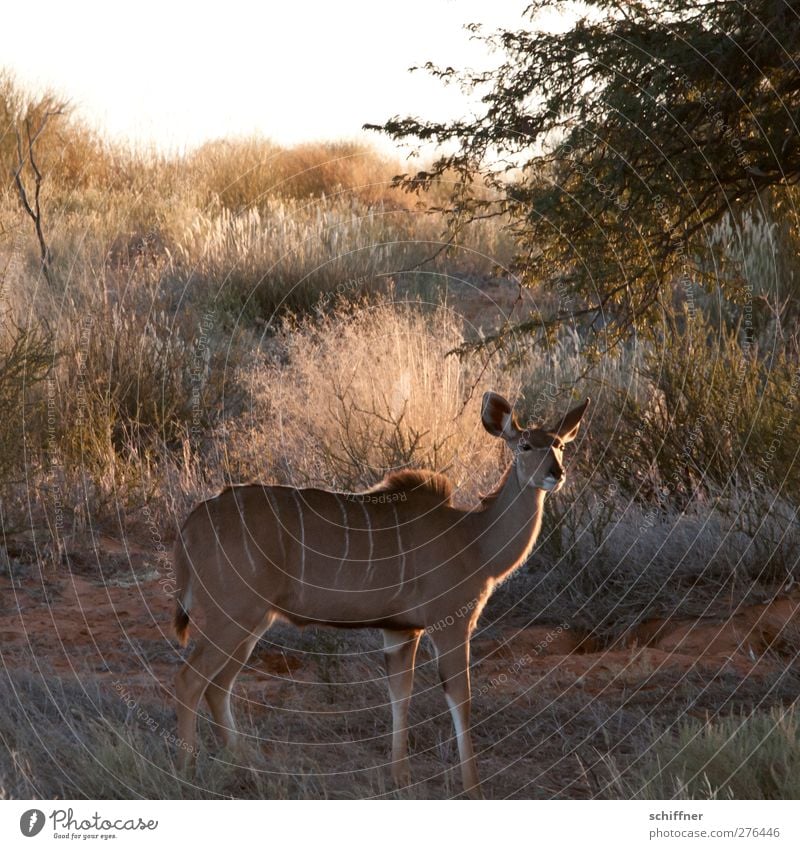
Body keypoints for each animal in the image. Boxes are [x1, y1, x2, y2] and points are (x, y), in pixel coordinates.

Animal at [175, 390, 588, 796]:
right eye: (524, 445)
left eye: (559, 445)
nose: (555, 474)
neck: (473, 540)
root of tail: (191, 525)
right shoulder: (450, 624)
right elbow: (461, 697)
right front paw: (472, 788)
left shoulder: (401, 630)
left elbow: (399, 694)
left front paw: (399, 777)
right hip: (233, 617)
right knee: (191, 680)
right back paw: (188, 773)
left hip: (252, 622)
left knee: (218, 686)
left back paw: (245, 765)